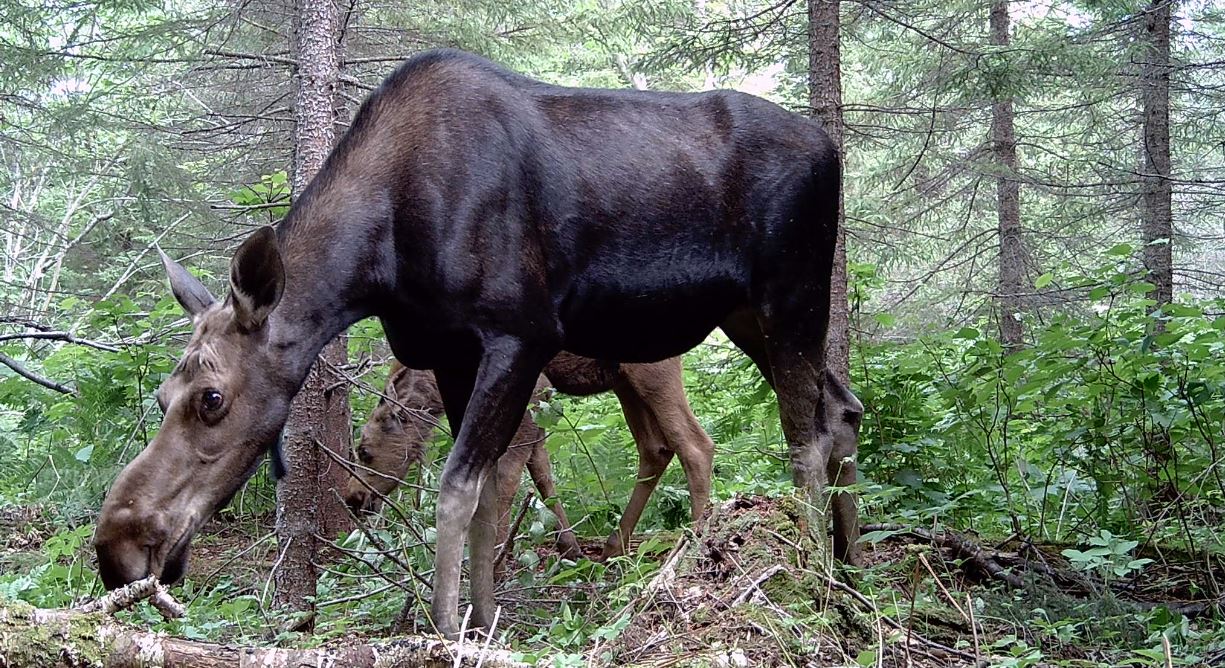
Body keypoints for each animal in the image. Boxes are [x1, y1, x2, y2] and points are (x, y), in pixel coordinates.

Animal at [345, 352, 862, 563]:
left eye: (364, 449)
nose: (352, 498)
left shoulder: (532, 392)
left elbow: (509, 477)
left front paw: (493, 558)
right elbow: (543, 474)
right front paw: (570, 547)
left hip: (649, 370)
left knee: (695, 443)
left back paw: (694, 539)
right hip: (622, 378)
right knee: (656, 448)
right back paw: (615, 545)